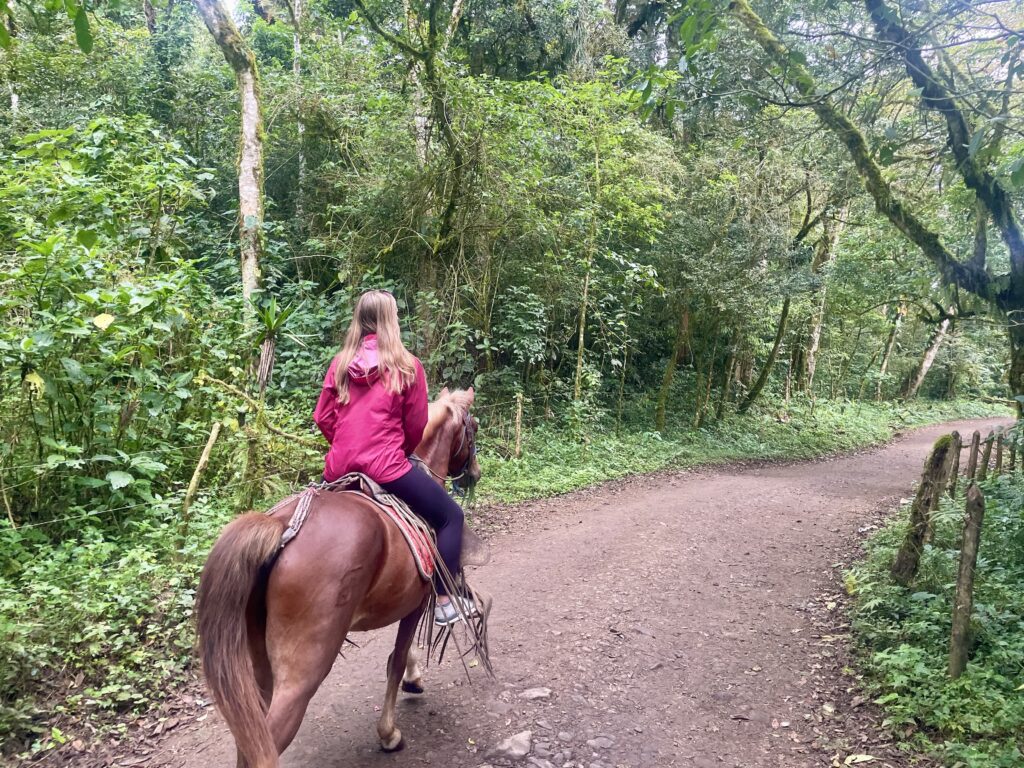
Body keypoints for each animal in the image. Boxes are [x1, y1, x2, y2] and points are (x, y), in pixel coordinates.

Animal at [197, 391, 481, 768]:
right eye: (473, 426)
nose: (475, 473)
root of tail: (283, 525)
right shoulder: (416, 602)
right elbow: (395, 660)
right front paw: (389, 733)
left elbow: (401, 656)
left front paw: (414, 680)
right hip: (304, 666)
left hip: (258, 661)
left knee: (250, 738)